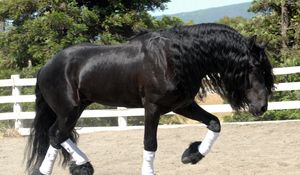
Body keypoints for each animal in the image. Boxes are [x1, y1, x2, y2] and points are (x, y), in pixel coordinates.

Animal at [25, 23, 274, 175]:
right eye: (253, 66)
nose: (262, 107)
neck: (173, 58)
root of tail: (45, 67)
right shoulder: (152, 107)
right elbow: (150, 143)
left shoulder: (182, 105)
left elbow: (215, 123)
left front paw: (192, 155)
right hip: (69, 109)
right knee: (56, 135)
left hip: (76, 108)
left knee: (58, 134)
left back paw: (83, 166)